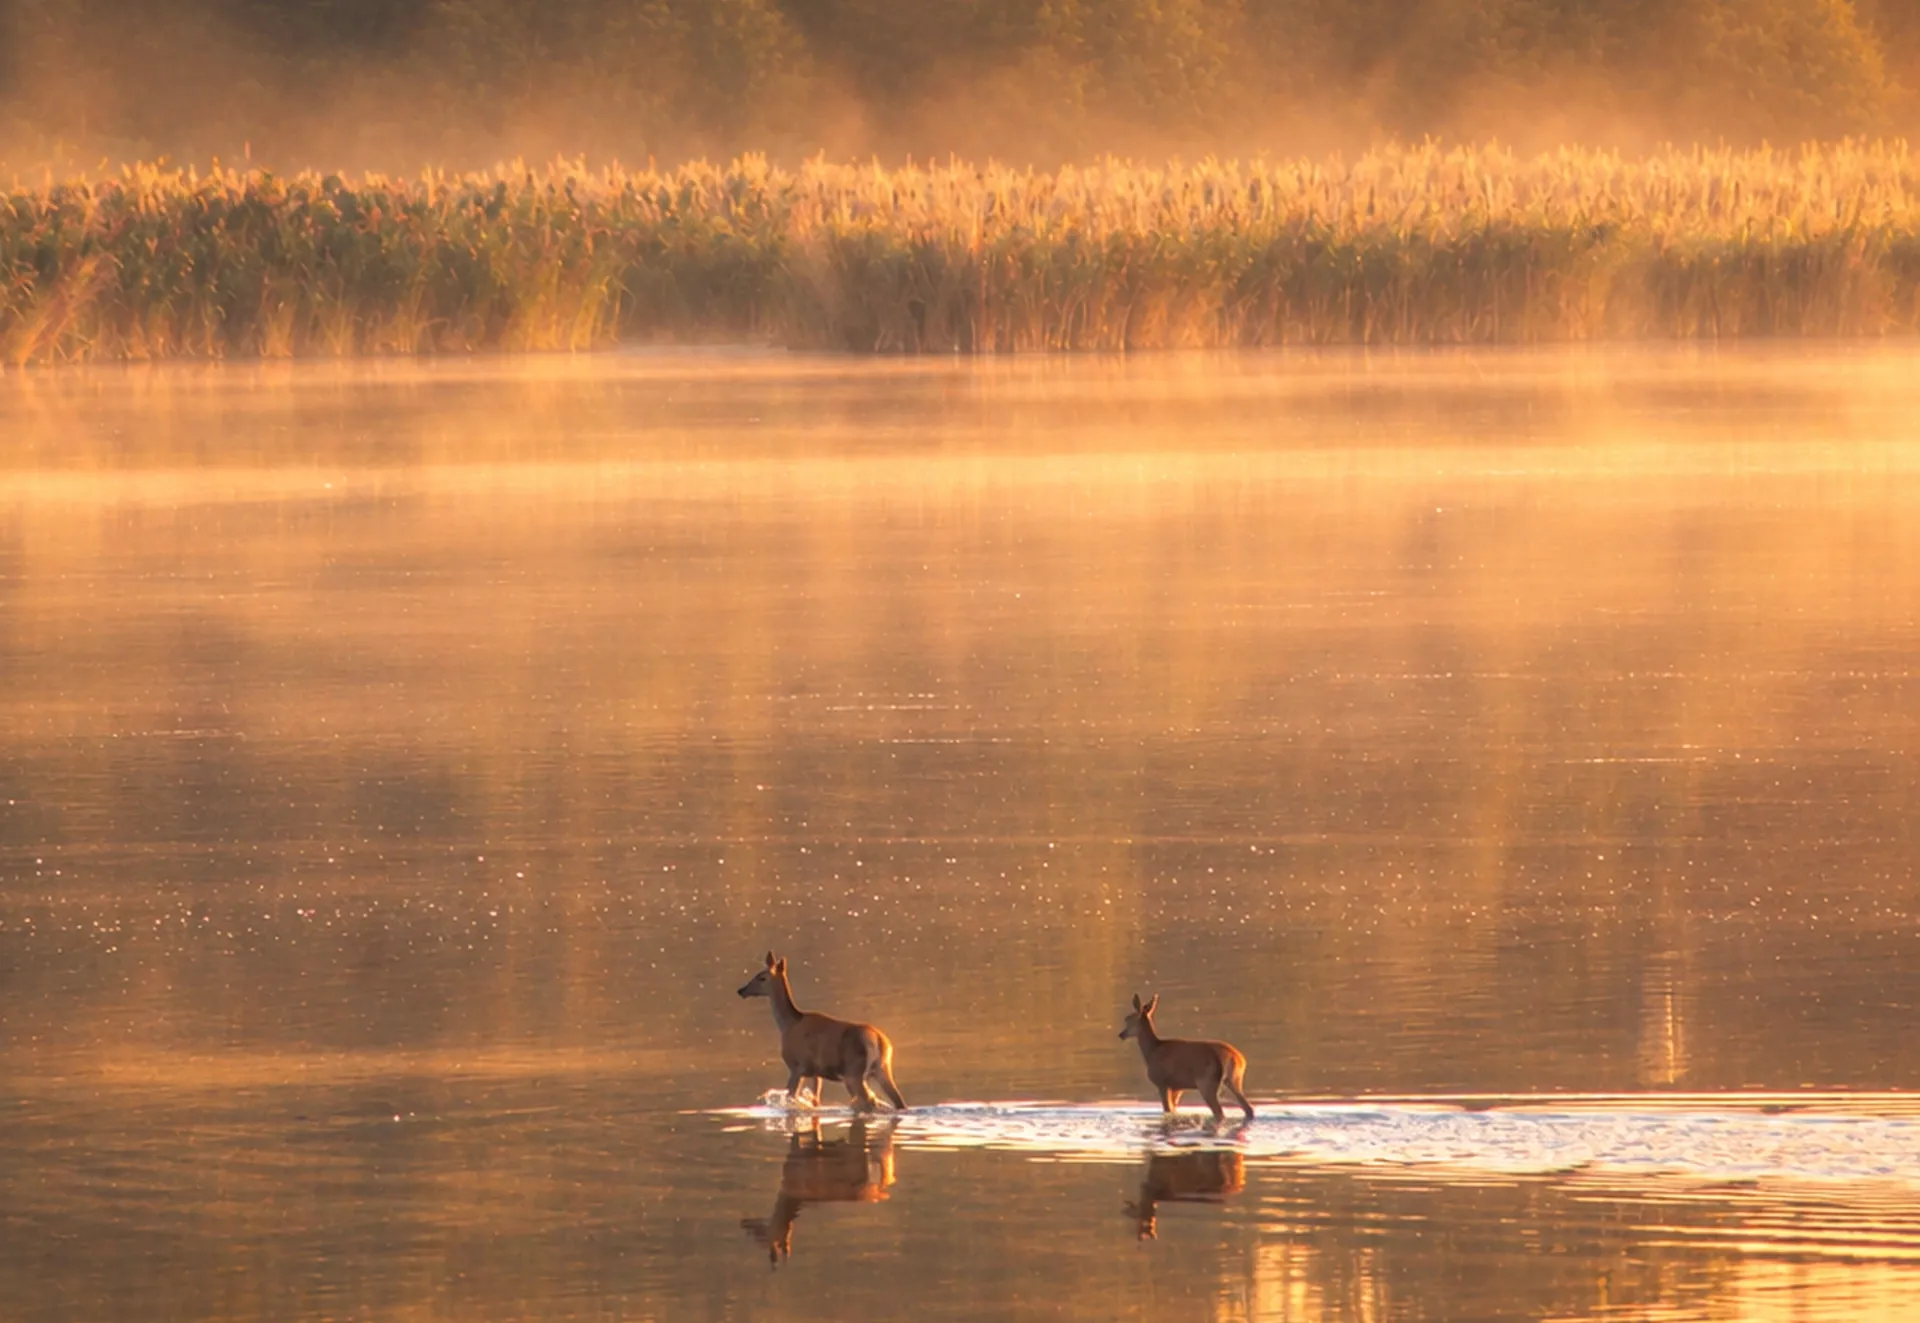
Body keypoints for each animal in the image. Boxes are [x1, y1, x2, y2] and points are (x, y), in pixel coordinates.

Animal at [737, 952, 908, 1112]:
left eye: (762, 977)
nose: (741, 990)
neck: (789, 1024)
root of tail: (878, 1040)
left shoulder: (796, 1066)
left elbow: (790, 1096)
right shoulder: (816, 1072)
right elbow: (815, 1100)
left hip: (853, 1073)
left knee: (868, 1101)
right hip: (882, 1068)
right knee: (899, 1102)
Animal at [1118, 993, 1254, 1121]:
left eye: (1128, 1019)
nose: (1121, 1034)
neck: (1152, 1051)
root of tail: (1235, 1057)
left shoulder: (1162, 1082)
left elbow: (1168, 1110)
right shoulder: (1178, 1087)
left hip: (1207, 1082)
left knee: (1220, 1113)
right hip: (1235, 1080)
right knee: (1248, 1109)